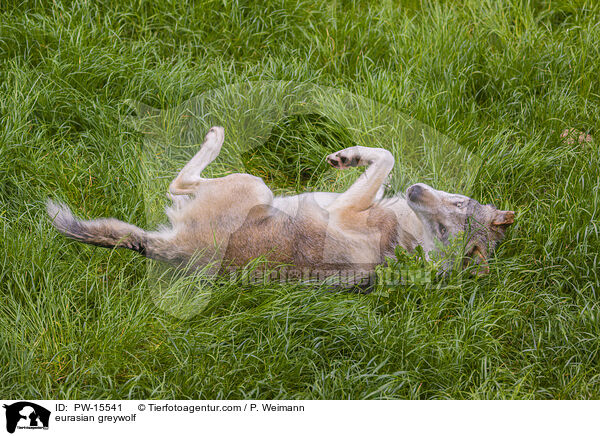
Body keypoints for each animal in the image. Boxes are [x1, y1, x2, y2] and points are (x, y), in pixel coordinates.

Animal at [48, 126, 516, 282]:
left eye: (444, 230)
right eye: (456, 201)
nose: (417, 191)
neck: (408, 239)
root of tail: (177, 251)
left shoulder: (347, 206)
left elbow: (386, 156)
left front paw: (352, 157)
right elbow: (383, 157)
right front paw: (347, 157)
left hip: (255, 187)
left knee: (177, 182)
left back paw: (215, 135)